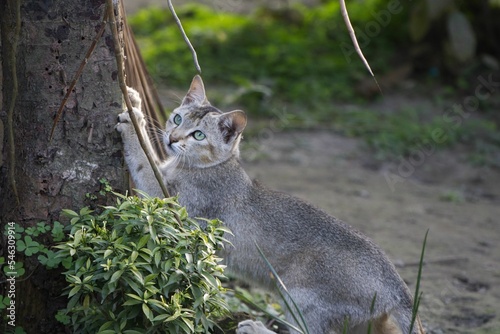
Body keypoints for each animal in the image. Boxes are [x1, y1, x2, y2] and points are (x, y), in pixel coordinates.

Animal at [117, 76, 426, 334]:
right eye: (177, 118)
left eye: (198, 135)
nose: (172, 138)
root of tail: (398, 287)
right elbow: (151, 156)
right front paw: (132, 100)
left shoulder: (173, 208)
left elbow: (143, 160)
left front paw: (132, 120)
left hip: (300, 298)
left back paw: (254, 328)